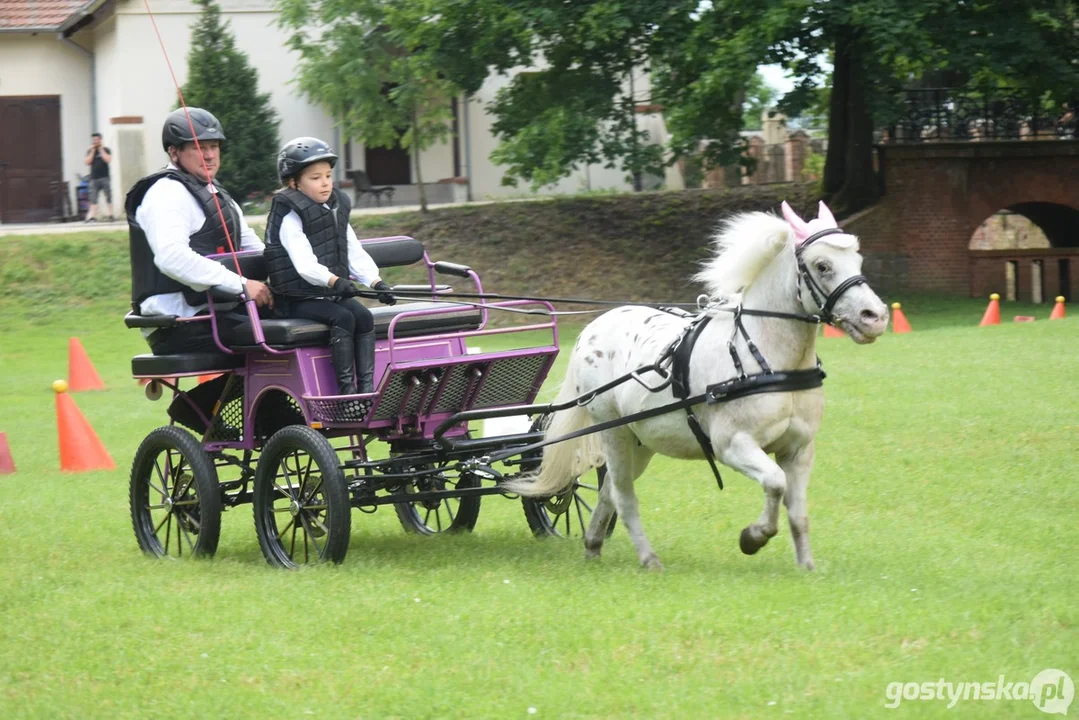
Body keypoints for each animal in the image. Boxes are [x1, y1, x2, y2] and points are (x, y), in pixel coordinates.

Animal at [509, 201, 889, 569]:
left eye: (857, 259)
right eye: (822, 265)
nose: (876, 317)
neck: (768, 358)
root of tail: (593, 328)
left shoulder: (799, 449)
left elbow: (798, 513)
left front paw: (806, 566)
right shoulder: (732, 445)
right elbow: (775, 483)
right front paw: (753, 537)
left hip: (639, 440)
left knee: (610, 491)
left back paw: (593, 546)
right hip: (611, 430)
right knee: (623, 494)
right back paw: (648, 559)